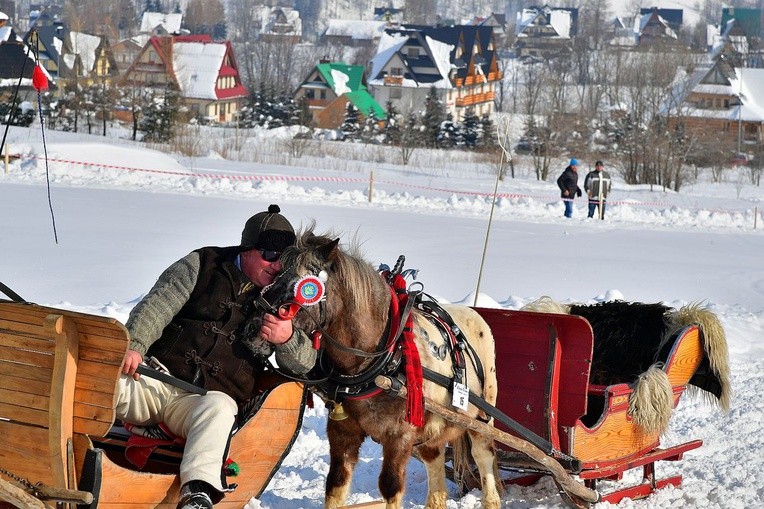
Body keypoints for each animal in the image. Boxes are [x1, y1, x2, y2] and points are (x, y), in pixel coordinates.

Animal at [260, 229, 504, 508]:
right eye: (278, 272)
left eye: (302, 281)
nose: (261, 308)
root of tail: (474, 313)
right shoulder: (342, 432)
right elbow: (335, 486)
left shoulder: (399, 436)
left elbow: (390, 487)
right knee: (433, 457)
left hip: (481, 416)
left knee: (483, 454)